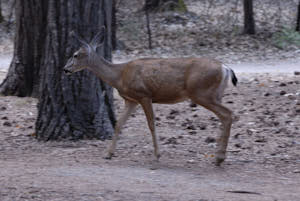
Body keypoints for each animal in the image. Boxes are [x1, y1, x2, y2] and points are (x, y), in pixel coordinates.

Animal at [63, 29, 237, 166]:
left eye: (75, 55)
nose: (65, 69)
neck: (119, 75)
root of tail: (225, 68)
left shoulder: (144, 95)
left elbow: (151, 124)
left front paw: (157, 155)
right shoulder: (130, 100)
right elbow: (119, 124)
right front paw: (108, 154)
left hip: (202, 93)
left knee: (228, 114)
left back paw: (219, 158)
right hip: (214, 94)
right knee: (225, 115)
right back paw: (219, 156)